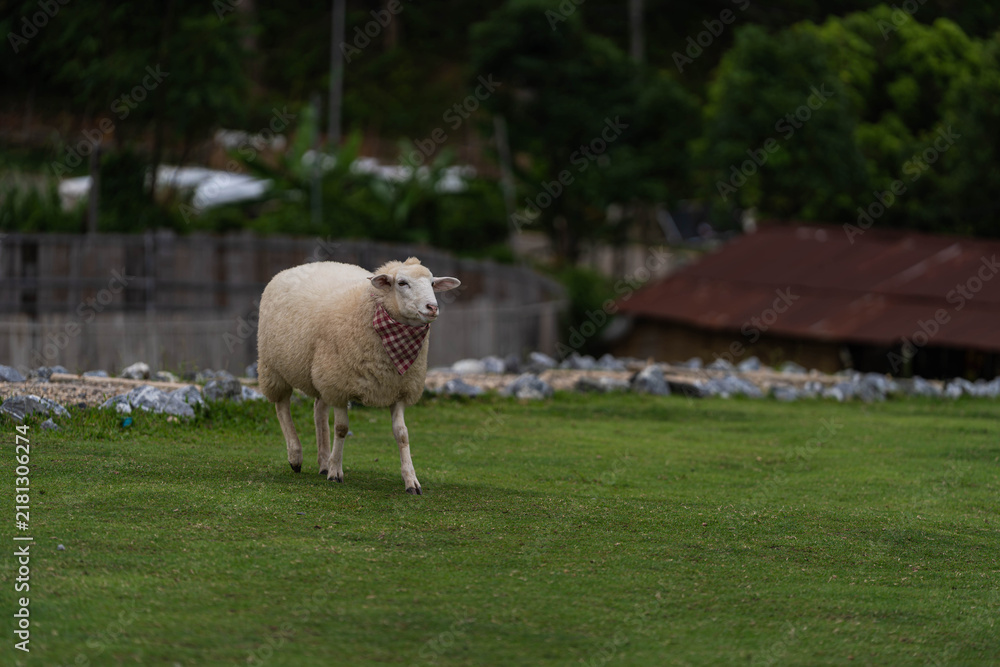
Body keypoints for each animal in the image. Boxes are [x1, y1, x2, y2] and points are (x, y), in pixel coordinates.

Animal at [256, 257, 461, 494]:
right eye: (402, 283)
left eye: (433, 283)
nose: (432, 308)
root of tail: (298, 267)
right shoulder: (339, 384)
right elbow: (341, 428)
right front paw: (336, 472)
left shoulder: (399, 389)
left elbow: (402, 434)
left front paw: (411, 481)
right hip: (274, 367)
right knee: (282, 407)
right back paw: (296, 456)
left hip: (319, 372)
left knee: (319, 411)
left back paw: (323, 462)